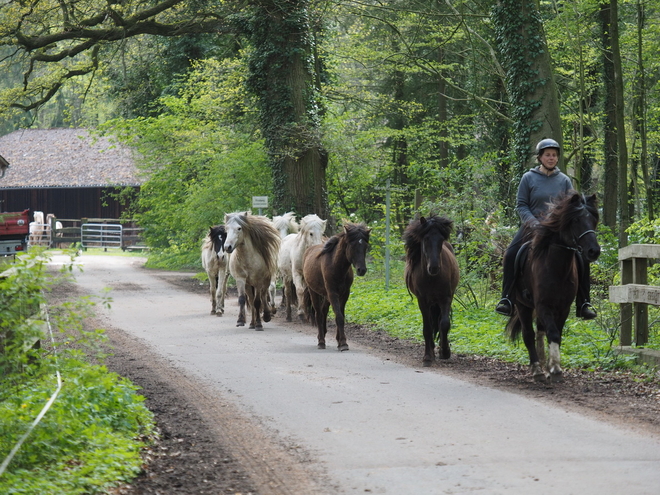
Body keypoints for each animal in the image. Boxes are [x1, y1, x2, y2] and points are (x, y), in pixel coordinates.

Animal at [304, 223, 372, 354]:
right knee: (318, 313)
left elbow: (341, 316)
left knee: (324, 311)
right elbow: (339, 316)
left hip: (326, 295)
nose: (362, 270)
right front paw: (343, 343)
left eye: (365, 246)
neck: (336, 266)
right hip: (314, 292)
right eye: (352, 245)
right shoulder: (333, 293)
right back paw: (321, 341)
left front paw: (340, 340)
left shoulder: (344, 294)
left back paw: (324, 333)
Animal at [402, 215, 458, 366]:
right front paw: (428, 356)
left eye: (441, 239)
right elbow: (427, 328)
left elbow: (444, 324)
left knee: (438, 321)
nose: (434, 267)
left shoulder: (446, 298)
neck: (431, 278)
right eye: (426, 239)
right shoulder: (423, 301)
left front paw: (445, 351)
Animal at [508, 191, 600, 384]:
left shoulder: (563, 307)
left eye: (593, 219)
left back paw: (544, 366)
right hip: (523, 305)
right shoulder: (543, 305)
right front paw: (556, 369)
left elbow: (557, 334)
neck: (557, 268)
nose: (593, 251)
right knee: (529, 334)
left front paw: (553, 367)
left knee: (540, 332)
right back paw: (537, 370)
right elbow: (553, 333)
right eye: (576, 220)